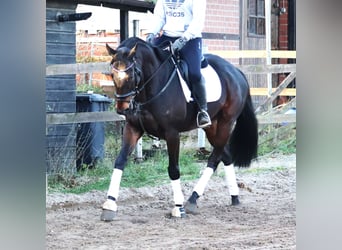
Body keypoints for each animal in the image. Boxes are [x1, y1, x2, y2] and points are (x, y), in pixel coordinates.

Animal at [100, 36, 258, 221]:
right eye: (112, 74)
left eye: (132, 74)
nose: (121, 108)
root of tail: (236, 72)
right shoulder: (133, 128)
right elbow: (120, 161)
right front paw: (109, 205)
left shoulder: (172, 134)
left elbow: (173, 169)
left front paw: (178, 207)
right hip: (212, 126)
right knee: (225, 155)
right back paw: (234, 197)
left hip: (226, 123)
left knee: (214, 158)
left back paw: (192, 200)